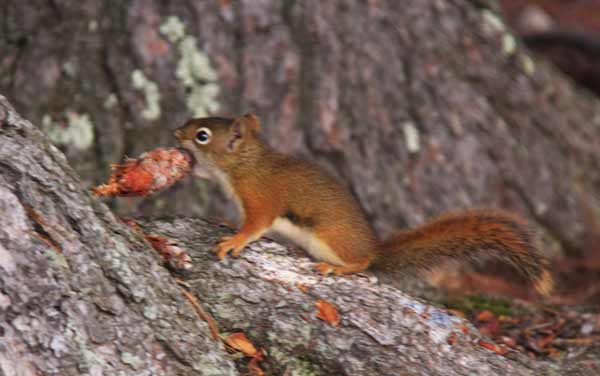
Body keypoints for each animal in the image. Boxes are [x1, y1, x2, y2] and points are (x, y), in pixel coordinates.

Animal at [173, 113, 552, 296]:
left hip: (332, 239)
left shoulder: (260, 197)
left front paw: (234, 240)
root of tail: (374, 247)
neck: (245, 164)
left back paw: (338, 269)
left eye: (202, 135)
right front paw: (227, 224)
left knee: (363, 263)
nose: (176, 133)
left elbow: (255, 225)